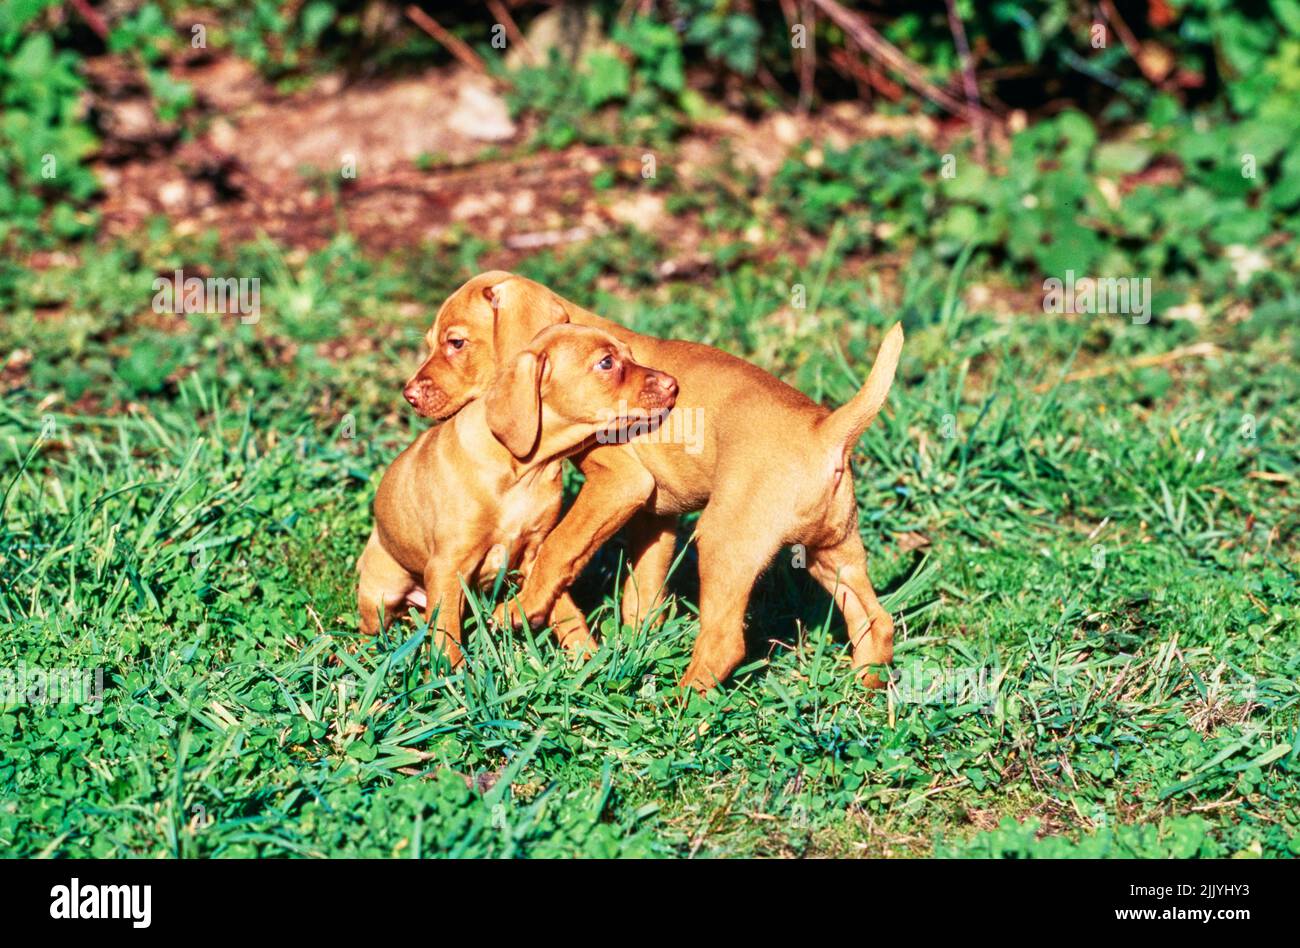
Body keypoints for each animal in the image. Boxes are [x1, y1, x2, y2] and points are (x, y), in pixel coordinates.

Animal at [358, 319, 676, 665]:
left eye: (631, 355)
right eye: (606, 362)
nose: (674, 384)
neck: (523, 471)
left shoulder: (535, 551)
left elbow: (560, 601)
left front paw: (586, 657)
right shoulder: (447, 565)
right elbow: (446, 631)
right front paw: (450, 673)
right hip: (382, 590)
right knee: (371, 626)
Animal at [405, 270, 904, 691]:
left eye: (455, 343)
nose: (408, 394)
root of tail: (827, 430)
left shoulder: (621, 483)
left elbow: (559, 546)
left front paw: (522, 608)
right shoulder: (655, 513)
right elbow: (640, 590)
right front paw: (632, 648)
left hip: (726, 545)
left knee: (724, 641)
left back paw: (682, 709)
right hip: (833, 551)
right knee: (875, 622)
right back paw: (863, 696)